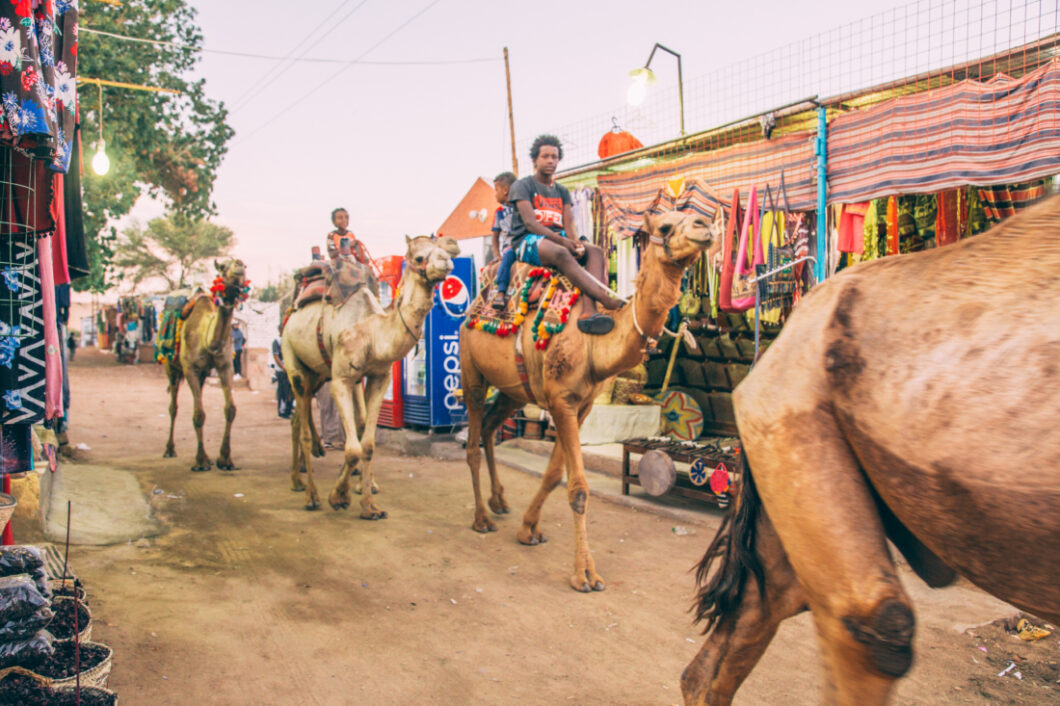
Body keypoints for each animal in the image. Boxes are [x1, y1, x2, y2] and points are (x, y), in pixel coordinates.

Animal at [163, 257, 248, 466]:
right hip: (172, 367)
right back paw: (169, 449)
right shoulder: (190, 368)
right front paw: (201, 461)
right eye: (223, 267)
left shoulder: (225, 366)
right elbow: (199, 414)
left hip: (202, 374)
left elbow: (230, 409)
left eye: (245, 266)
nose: (239, 264)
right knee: (173, 407)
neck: (207, 339)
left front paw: (224, 459)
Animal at [281, 235, 460, 510]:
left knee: (297, 420)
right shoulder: (341, 380)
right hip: (292, 358)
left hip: (318, 373)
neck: (372, 332)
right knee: (303, 430)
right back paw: (310, 494)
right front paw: (338, 496)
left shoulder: (377, 377)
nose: (447, 259)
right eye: (419, 257)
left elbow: (366, 442)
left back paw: (297, 478)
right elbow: (353, 448)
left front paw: (368, 502)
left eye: (441, 249)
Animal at [462, 212, 720, 589]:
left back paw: (499, 502)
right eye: (664, 227)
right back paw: (481, 518)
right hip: (471, 369)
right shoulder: (561, 400)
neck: (594, 342)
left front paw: (528, 529)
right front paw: (585, 574)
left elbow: (554, 475)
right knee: (472, 440)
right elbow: (579, 489)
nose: (706, 225)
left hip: (513, 389)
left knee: (490, 428)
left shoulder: (580, 406)